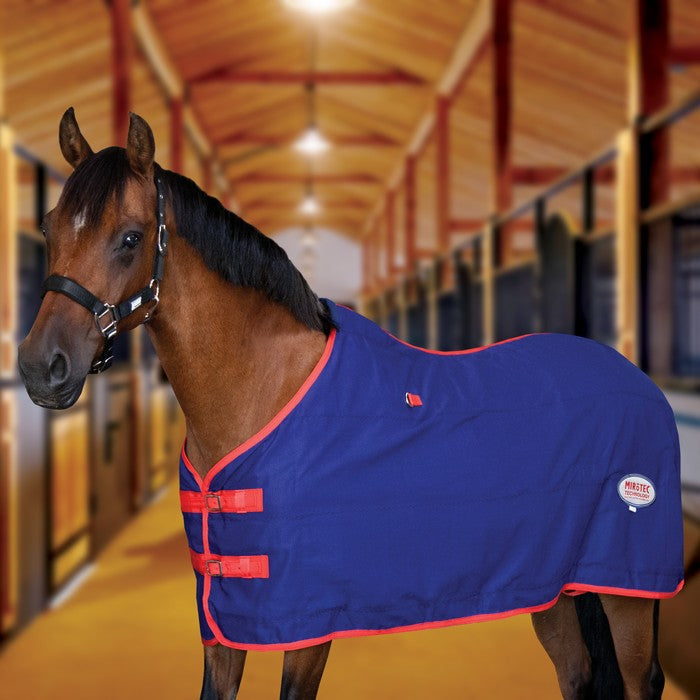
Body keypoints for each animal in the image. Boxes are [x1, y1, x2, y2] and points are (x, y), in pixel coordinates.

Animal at [17, 108, 684, 700]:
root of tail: (633, 376)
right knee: (577, 674)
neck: (263, 392)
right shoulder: (224, 620)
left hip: (627, 591)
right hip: (554, 587)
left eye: (130, 238)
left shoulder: (309, 622)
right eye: (49, 227)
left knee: (638, 680)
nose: (40, 366)